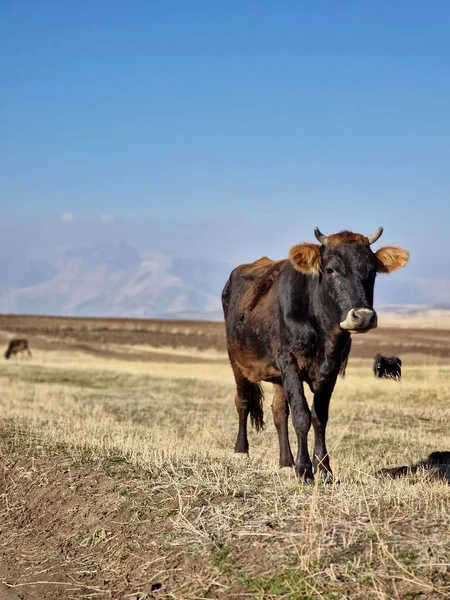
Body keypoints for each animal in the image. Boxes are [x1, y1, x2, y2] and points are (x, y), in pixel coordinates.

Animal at [223, 225, 410, 482]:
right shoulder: (290, 361)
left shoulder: (330, 368)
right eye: (331, 270)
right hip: (237, 359)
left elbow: (319, 417)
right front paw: (304, 470)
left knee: (279, 411)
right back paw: (241, 452)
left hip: (278, 376)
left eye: (372, 271)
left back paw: (285, 462)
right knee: (242, 401)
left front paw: (324, 469)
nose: (363, 316)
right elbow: (302, 415)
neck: (323, 331)